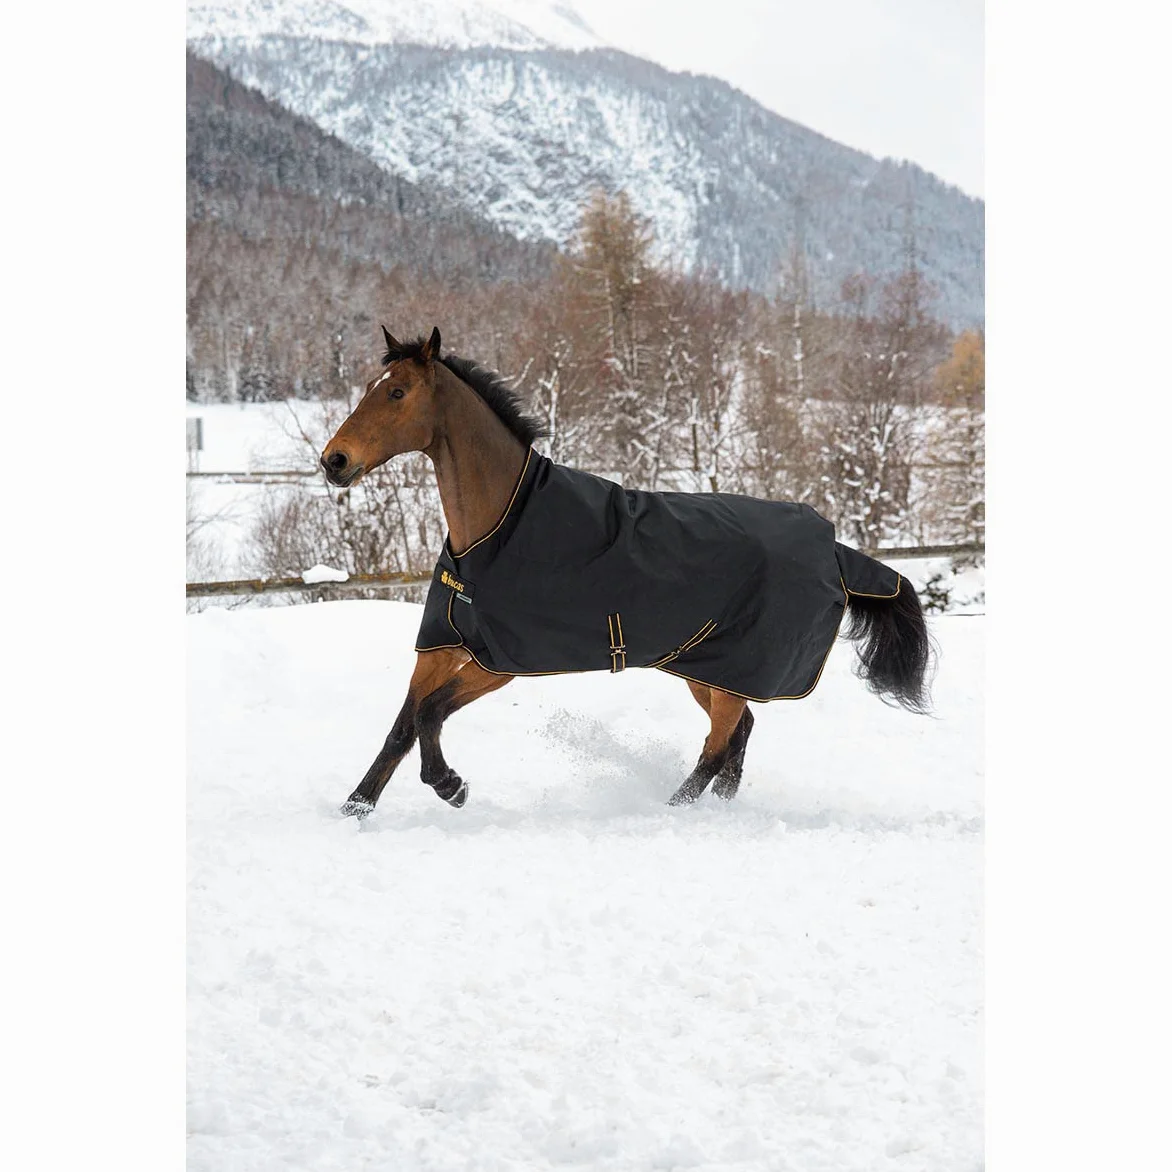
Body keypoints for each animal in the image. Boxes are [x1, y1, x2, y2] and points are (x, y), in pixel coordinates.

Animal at [321, 326, 932, 816]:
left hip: (729, 670)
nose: (334, 461)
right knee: (736, 737)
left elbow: (429, 715)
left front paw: (451, 786)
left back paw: (670, 810)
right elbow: (403, 727)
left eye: (397, 392)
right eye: (372, 386)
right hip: (706, 670)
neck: (499, 526)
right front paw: (356, 808)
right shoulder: (442, 645)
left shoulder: (500, 662)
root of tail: (836, 551)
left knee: (718, 747)